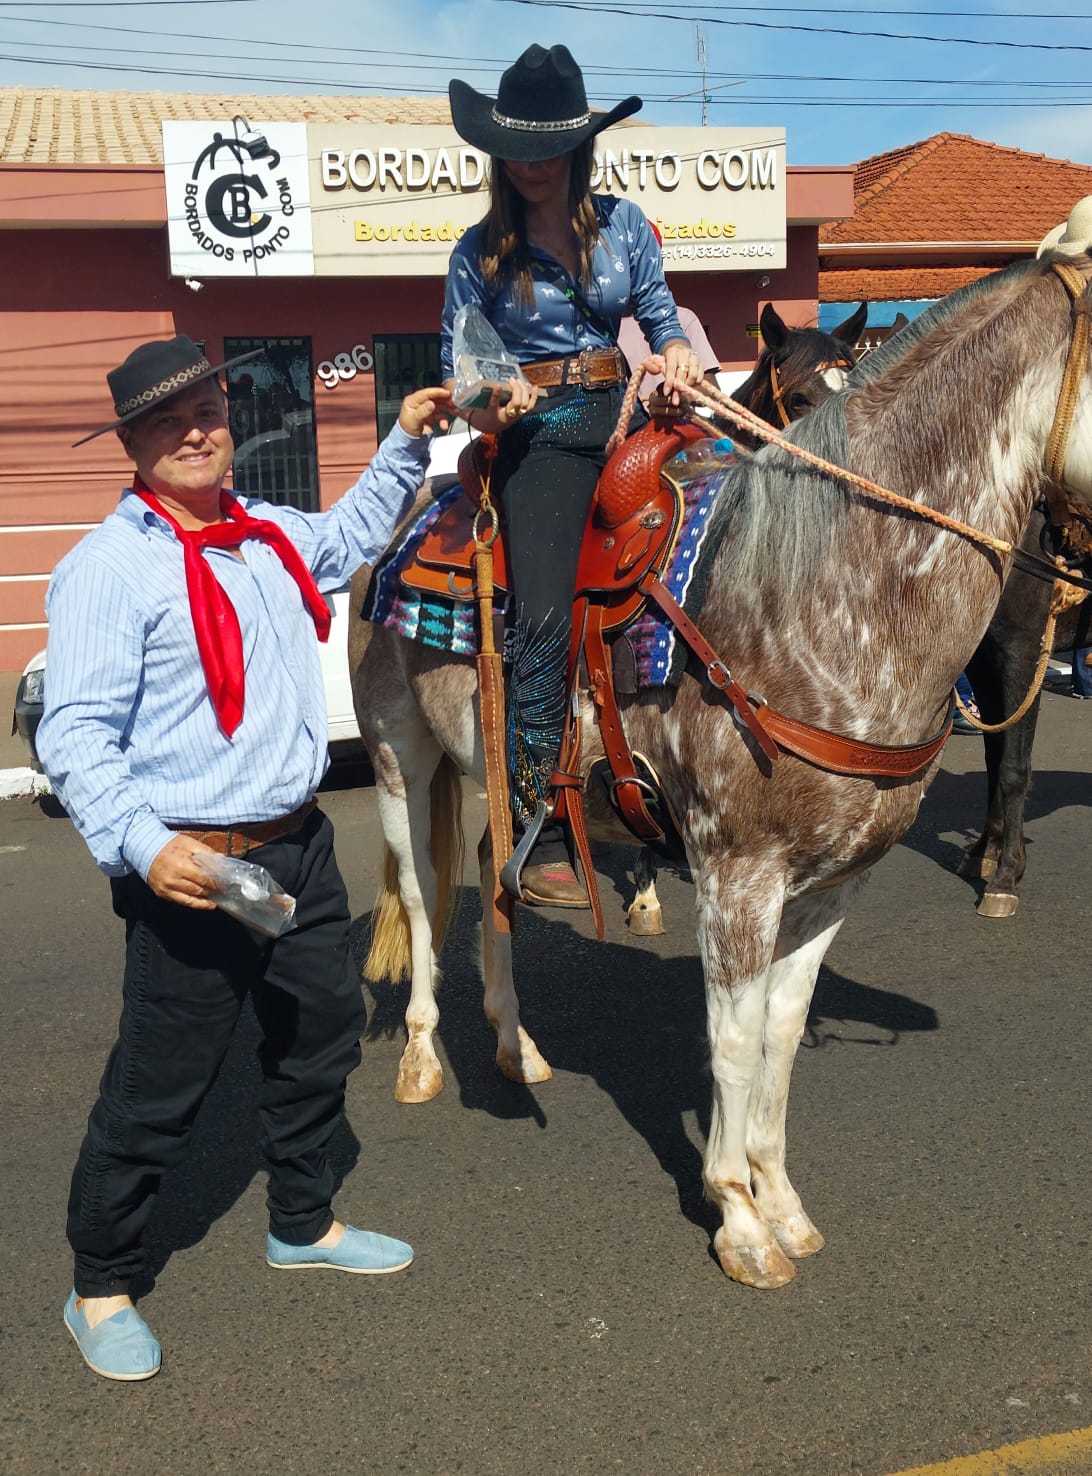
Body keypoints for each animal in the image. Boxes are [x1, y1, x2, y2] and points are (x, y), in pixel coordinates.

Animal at [350, 254, 1092, 1288]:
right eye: (792, 390)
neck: (819, 593)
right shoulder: (737, 873)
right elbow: (733, 1045)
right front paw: (737, 1216)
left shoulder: (831, 886)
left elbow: (780, 1039)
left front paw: (781, 1200)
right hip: (399, 758)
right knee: (424, 898)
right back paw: (422, 1059)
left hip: (500, 775)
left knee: (495, 883)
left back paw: (514, 1044)